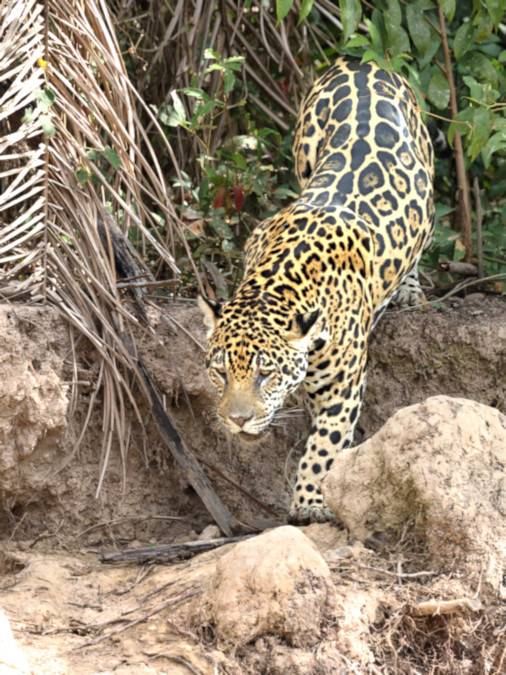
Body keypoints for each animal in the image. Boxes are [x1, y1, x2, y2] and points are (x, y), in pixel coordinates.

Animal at [199, 56, 443, 524]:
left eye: (265, 374)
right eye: (220, 373)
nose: (237, 420)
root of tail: (363, 63)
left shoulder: (343, 387)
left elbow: (324, 447)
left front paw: (310, 503)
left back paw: (409, 289)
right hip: (305, 151)